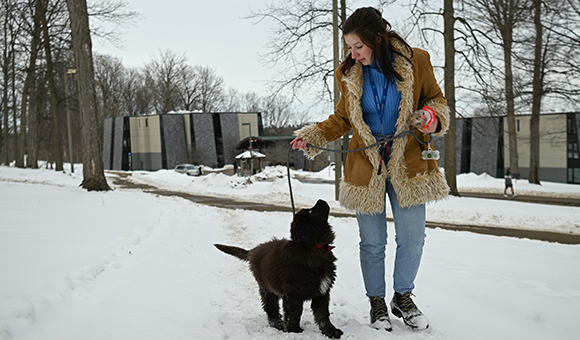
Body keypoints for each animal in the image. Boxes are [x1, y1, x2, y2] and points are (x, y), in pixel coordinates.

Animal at [214, 199, 342, 338]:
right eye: (310, 211)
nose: (321, 200)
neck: (313, 247)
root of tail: (254, 251)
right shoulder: (293, 293)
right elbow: (294, 313)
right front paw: (293, 331)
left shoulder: (323, 291)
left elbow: (323, 314)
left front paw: (330, 331)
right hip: (267, 287)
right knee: (271, 307)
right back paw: (277, 323)